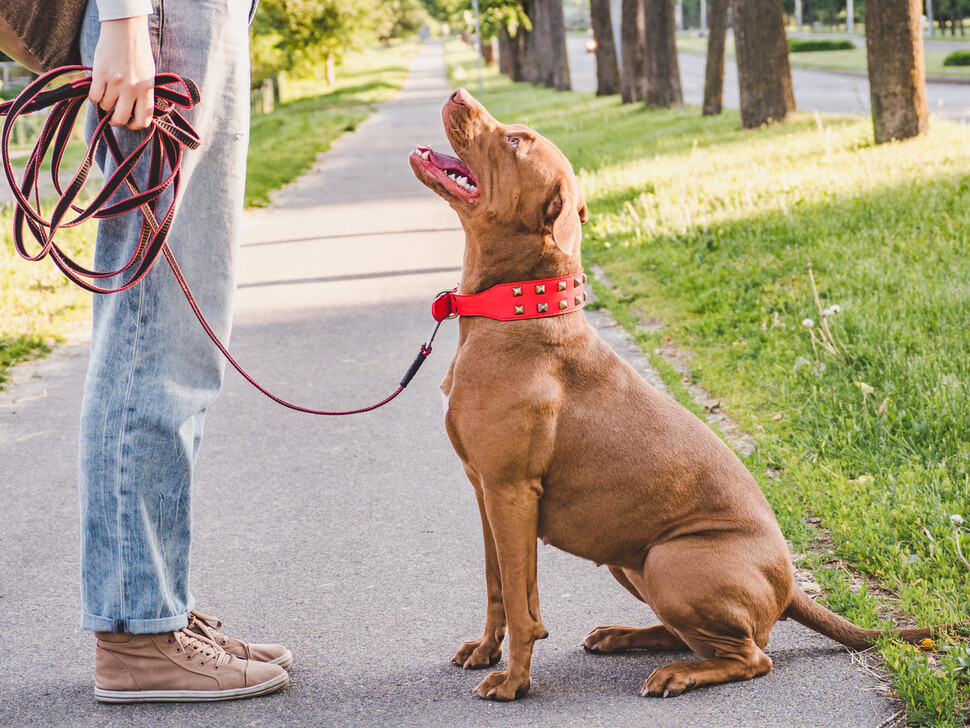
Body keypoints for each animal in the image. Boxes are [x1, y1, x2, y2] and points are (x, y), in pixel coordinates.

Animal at [406, 89, 932, 700]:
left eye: (515, 141)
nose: (458, 94)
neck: (514, 309)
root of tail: (790, 585)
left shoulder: (511, 492)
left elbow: (518, 599)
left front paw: (514, 681)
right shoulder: (485, 491)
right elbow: (498, 587)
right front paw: (486, 651)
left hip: (668, 560)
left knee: (752, 655)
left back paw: (677, 673)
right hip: (627, 557)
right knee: (695, 635)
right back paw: (624, 636)